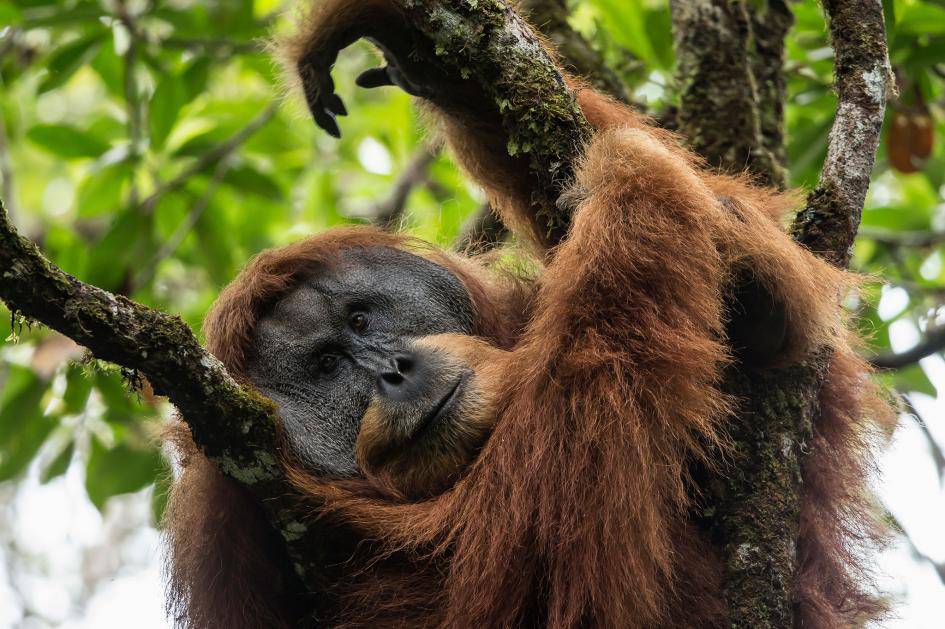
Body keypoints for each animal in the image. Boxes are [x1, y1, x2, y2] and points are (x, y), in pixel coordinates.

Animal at [163, 2, 891, 627]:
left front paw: (407, 46)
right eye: (326, 364)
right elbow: (555, 511)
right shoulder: (250, 519)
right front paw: (630, 171)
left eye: (362, 320)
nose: (394, 368)